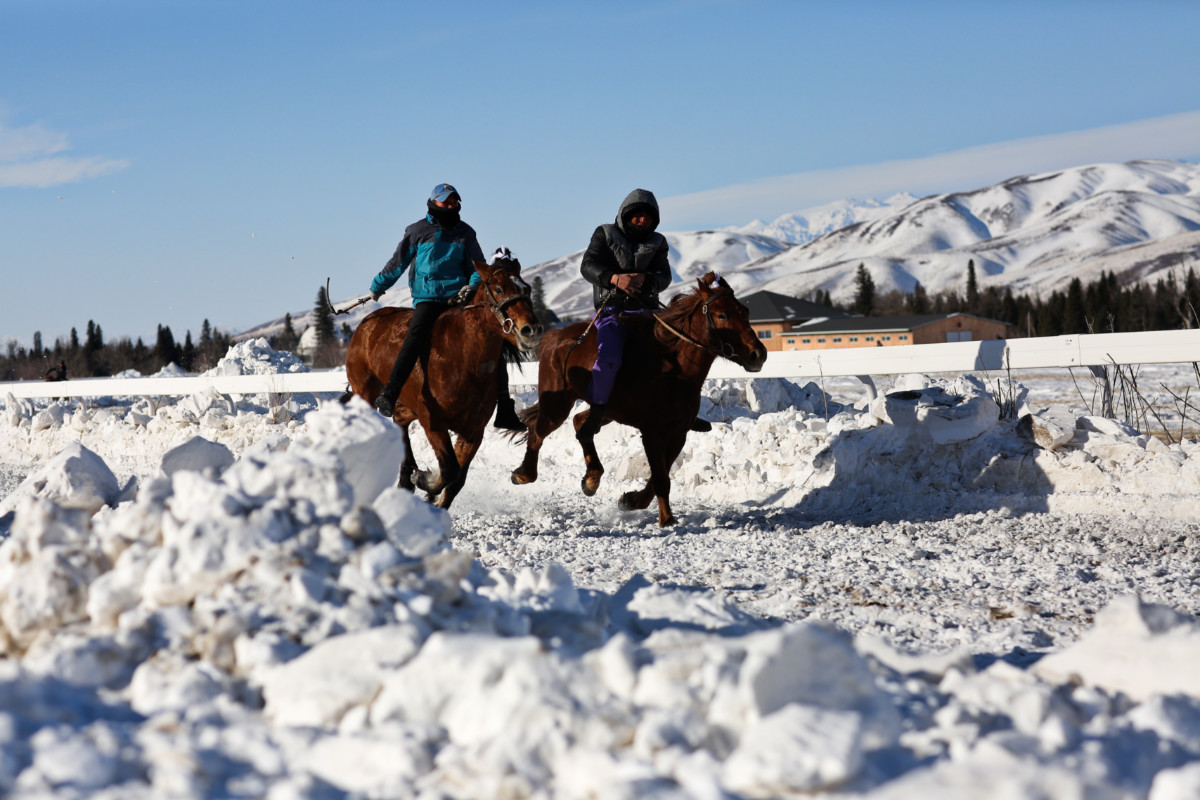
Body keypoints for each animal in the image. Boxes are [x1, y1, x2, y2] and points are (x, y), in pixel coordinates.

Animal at [343, 256, 540, 506]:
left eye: (527, 288)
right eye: (498, 289)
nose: (531, 330)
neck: (464, 361)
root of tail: (367, 323)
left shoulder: (473, 432)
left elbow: (456, 480)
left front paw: (430, 493)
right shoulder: (432, 421)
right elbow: (449, 470)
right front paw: (425, 481)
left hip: (408, 406)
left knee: (400, 422)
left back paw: (406, 477)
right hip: (366, 393)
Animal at [511, 272, 763, 527]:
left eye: (745, 311)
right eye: (722, 315)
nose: (758, 354)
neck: (673, 368)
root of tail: (554, 338)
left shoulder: (678, 433)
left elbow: (659, 475)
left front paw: (632, 500)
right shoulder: (652, 432)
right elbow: (661, 478)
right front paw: (667, 520)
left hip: (606, 411)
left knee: (580, 424)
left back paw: (592, 477)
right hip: (557, 404)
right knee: (538, 431)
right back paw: (524, 474)